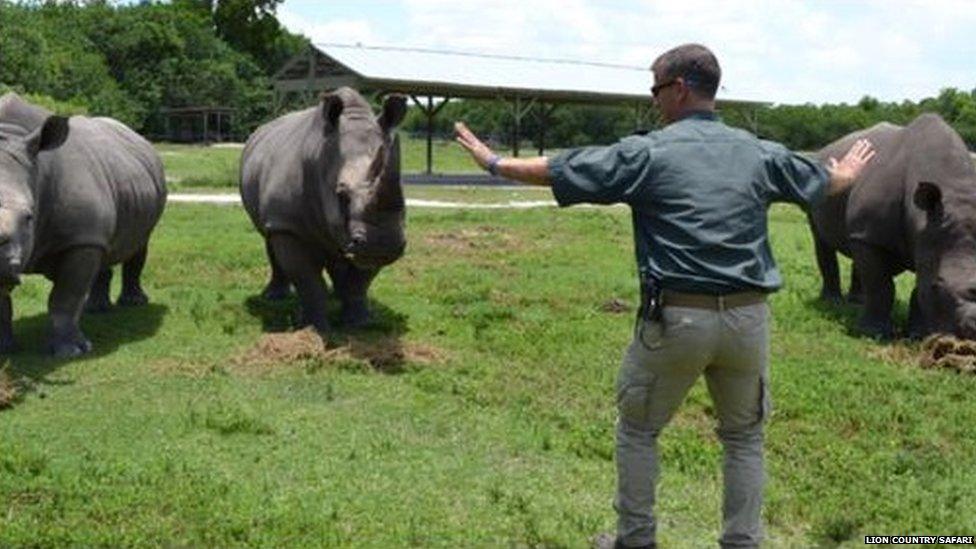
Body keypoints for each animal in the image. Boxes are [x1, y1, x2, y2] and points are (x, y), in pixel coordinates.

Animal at [0, 92, 167, 358]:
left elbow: (65, 296)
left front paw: (72, 352)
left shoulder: (81, 239)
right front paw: (4, 350)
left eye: (29, 217)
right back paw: (96, 309)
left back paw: (133, 303)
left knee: (139, 243)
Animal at [240, 88, 408, 332]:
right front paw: (313, 328)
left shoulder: (369, 243)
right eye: (341, 195)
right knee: (269, 237)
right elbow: (308, 281)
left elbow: (360, 282)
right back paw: (273, 298)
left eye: (404, 194)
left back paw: (337, 295)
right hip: (275, 216)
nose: (383, 243)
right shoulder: (288, 225)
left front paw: (360, 324)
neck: (320, 157)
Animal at [808, 112, 976, 338]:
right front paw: (873, 333)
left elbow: (916, 288)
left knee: (855, 244)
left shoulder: (924, 237)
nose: (972, 330)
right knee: (822, 241)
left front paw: (918, 335)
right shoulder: (882, 234)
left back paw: (857, 302)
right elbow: (881, 286)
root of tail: (824, 150)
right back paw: (832, 302)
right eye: (937, 285)